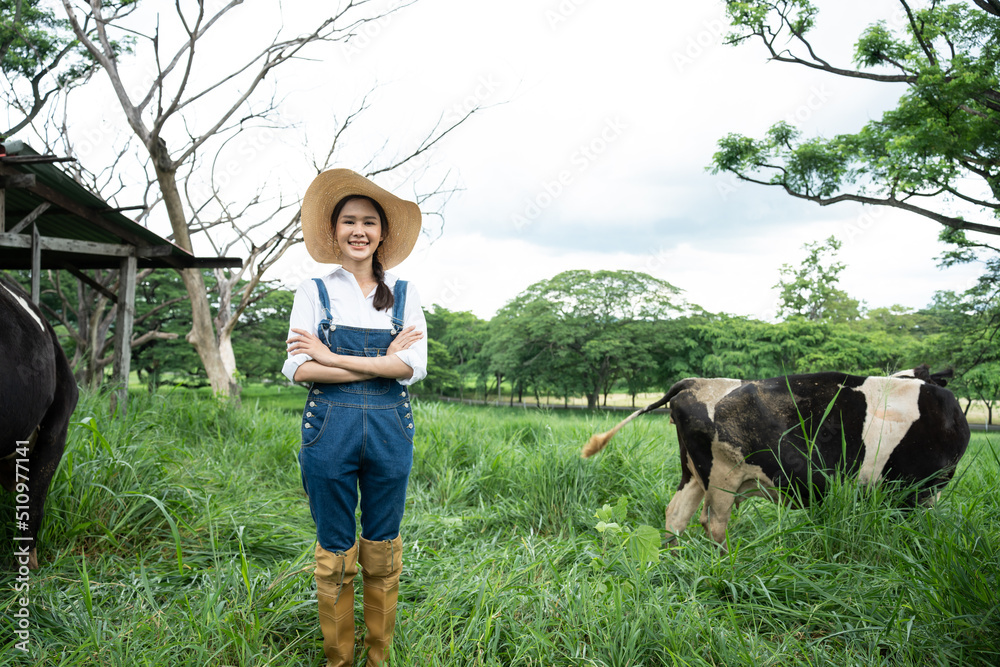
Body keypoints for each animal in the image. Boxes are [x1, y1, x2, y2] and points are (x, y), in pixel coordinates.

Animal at [584, 370, 972, 548]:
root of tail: (696, 381)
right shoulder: (917, 490)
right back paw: (726, 563)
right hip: (722, 476)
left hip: (694, 473)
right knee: (714, 523)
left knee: (676, 516)